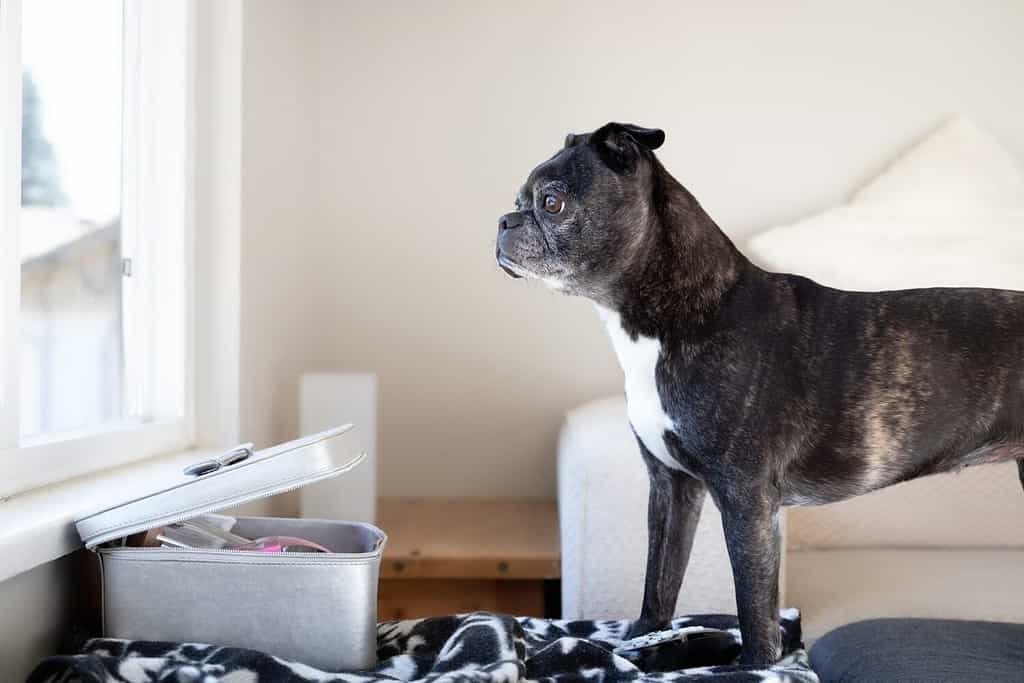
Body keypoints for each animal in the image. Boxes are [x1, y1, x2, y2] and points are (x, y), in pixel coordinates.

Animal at [493, 122, 1024, 667]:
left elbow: (753, 605)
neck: (682, 312)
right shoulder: (672, 487)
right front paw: (639, 642)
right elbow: (659, 582)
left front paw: (753, 665)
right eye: (518, 200)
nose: (504, 221)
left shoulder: (746, 501)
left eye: (552, 202)